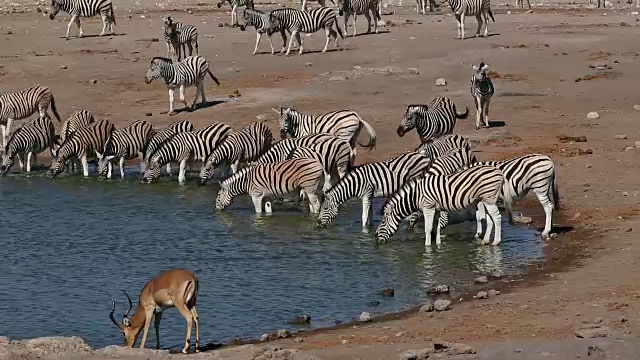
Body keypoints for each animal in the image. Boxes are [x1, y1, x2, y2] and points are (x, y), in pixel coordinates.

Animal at [376, 165, 510, 246]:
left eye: (382, 222)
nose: (376, 238)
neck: (415, 195)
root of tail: (499, 171)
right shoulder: (436, 208)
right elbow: (437, 227)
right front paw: (438, 244)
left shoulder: (428, 207)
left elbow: (428, 228)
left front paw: (427, 247)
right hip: (486, 199)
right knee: (490, 219)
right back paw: (485, 241)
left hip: (489, 198)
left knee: (497, 218)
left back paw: (496, 242)